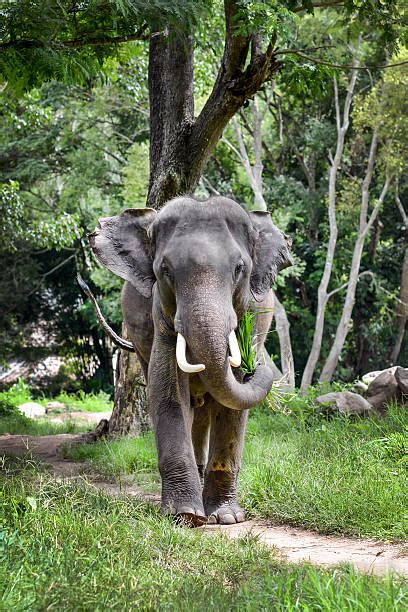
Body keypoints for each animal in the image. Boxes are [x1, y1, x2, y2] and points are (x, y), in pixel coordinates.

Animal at [86, 195, 292, 524]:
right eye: (165, 270)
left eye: (239, 268)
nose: (254, 367)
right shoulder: (161, 318)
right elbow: (166, 392)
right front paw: (185, 516)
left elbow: (232, 406)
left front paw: (227, 518)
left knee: (206, 409)